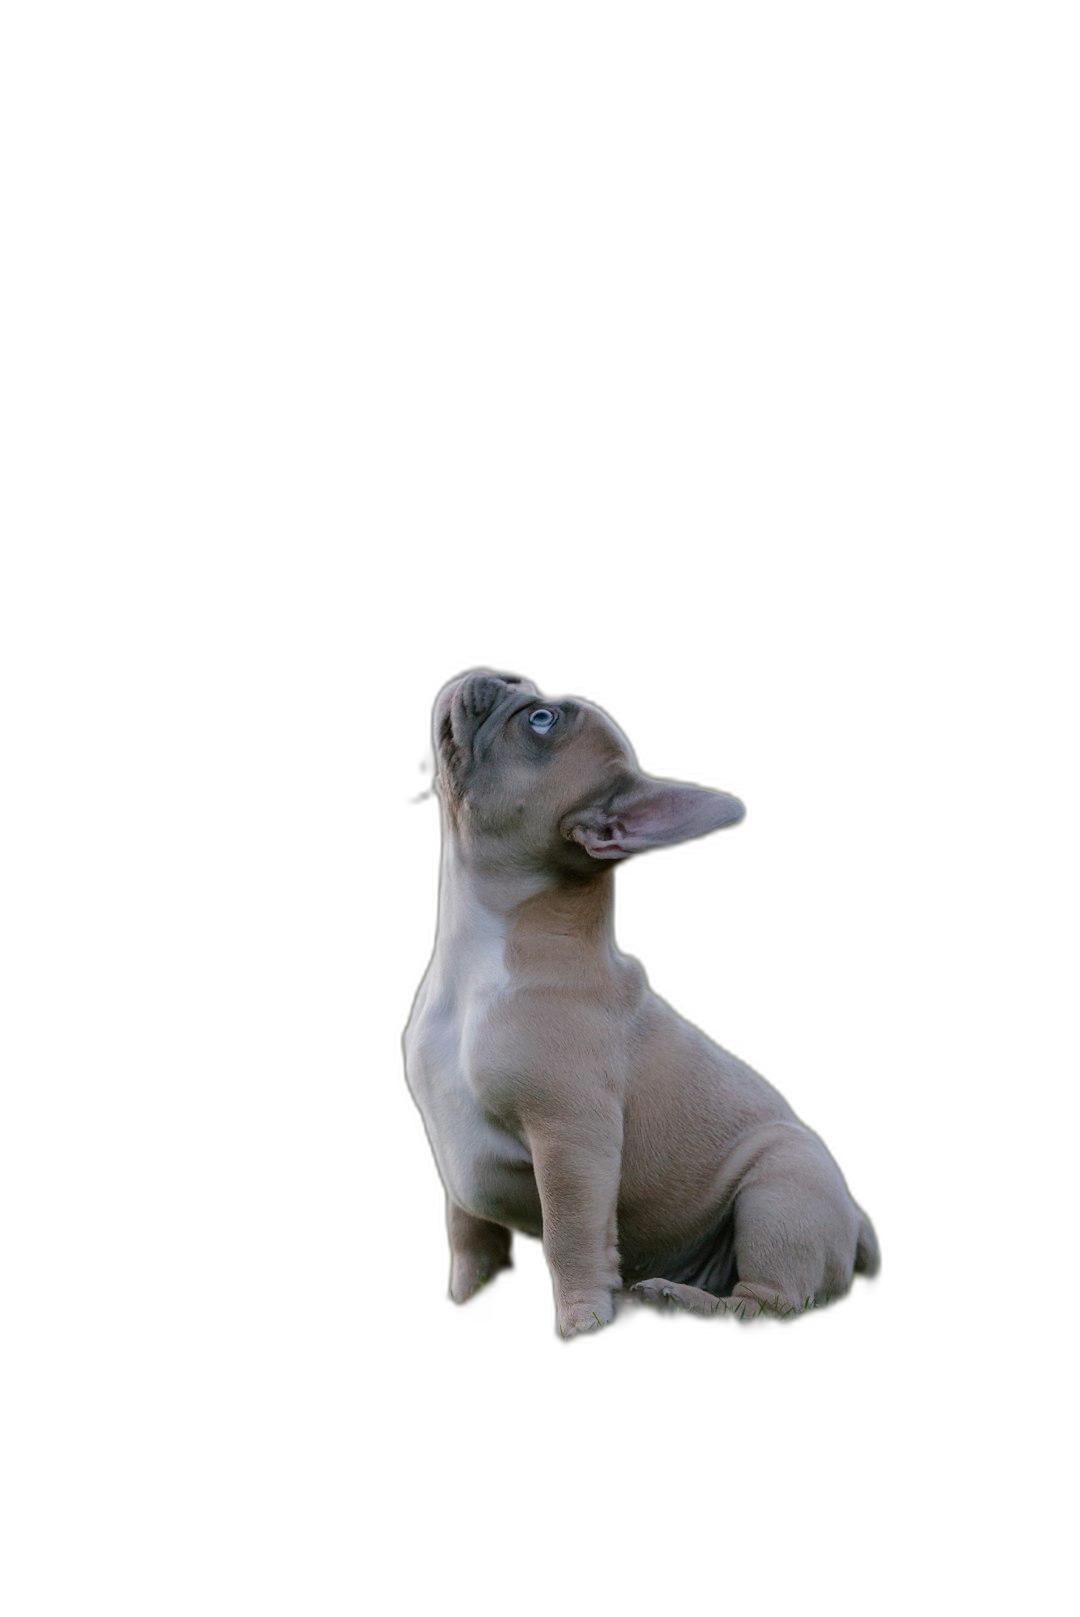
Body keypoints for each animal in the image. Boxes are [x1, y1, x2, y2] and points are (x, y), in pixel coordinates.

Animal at [402, 669, 879, 1338]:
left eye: (541, 719)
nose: (505, 675)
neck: (477, 957)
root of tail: (857, 1226)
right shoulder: (459, 1156)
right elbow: (469, 1235)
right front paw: (468, 1297)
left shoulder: (572, 1142)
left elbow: (568, 1236)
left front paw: (582, 1321)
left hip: (780, 1190)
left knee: (770, 1302)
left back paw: (677, 1299)